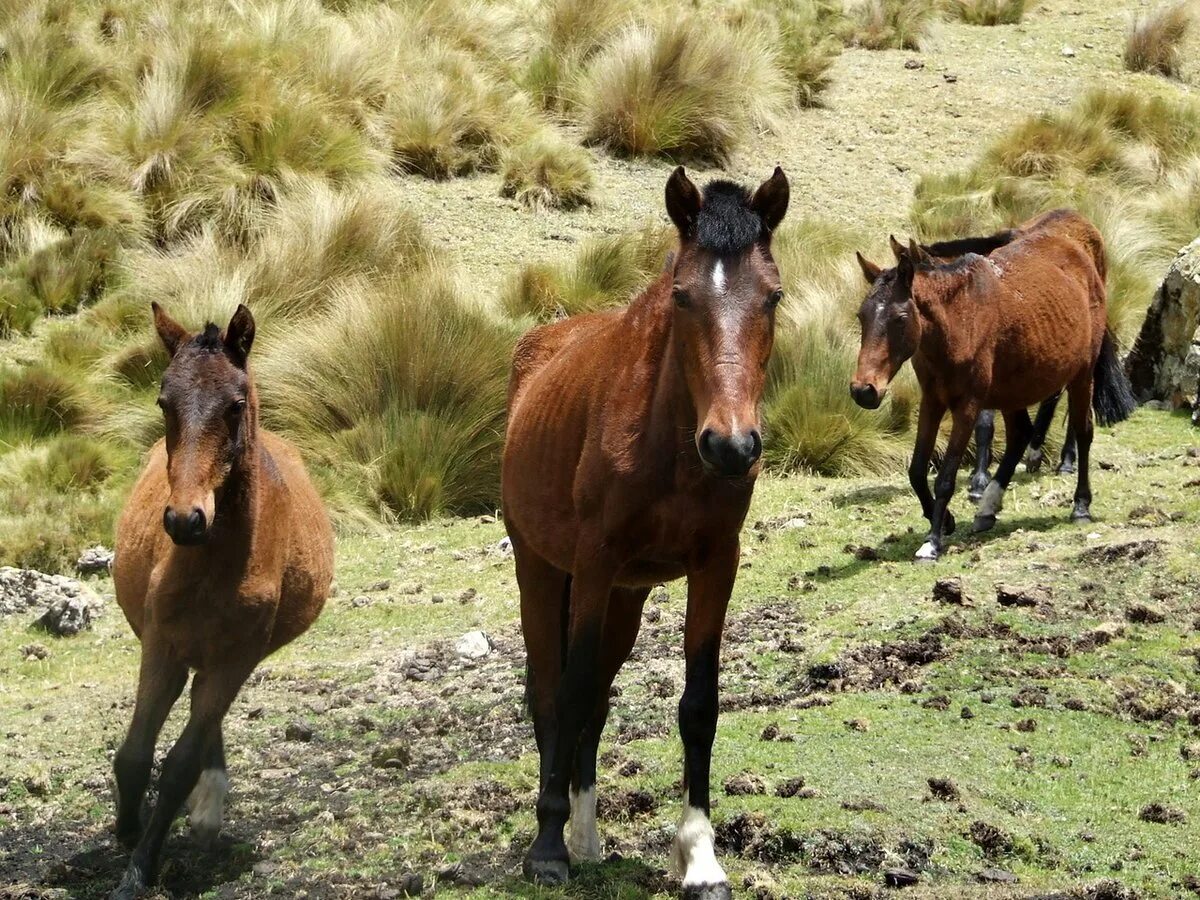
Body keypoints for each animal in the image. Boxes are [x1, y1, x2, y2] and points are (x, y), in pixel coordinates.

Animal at [108, 304, 333, 900]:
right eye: (164, 402)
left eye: (235, 405)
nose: (185, 520)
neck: (212, 564)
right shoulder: (160, 644)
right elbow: (135, 755)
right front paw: (127, 830)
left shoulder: (236, 658)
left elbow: (179, 764)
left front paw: (140, 867)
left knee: (201, 718)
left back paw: (208, 808)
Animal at [504, 165, 792, 897]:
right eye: (683, 296)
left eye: (773, 296)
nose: (731, 446)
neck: (671, 447)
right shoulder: (595, 563)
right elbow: (570, 692)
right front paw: (546, 848)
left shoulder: (715, 564)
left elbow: (698, 705)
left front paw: (700, 856)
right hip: (541, 570)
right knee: (551, 692)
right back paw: (560, 837)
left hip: (627, 599)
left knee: (598, 702)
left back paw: (587, 837)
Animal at [854, 212, 1132, 564]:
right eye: (861, 316)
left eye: (901, 318)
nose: (864, 390)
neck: (958, 322)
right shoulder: (933, 401)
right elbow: (917, 470)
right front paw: (946, 520)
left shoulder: (968, 405)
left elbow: (946, 477)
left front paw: (932, 541)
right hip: (1016, 389)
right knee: (1020, 435)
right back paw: (988, 508)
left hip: (1080, 376)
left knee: (1083, 431)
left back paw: (1080, 504)